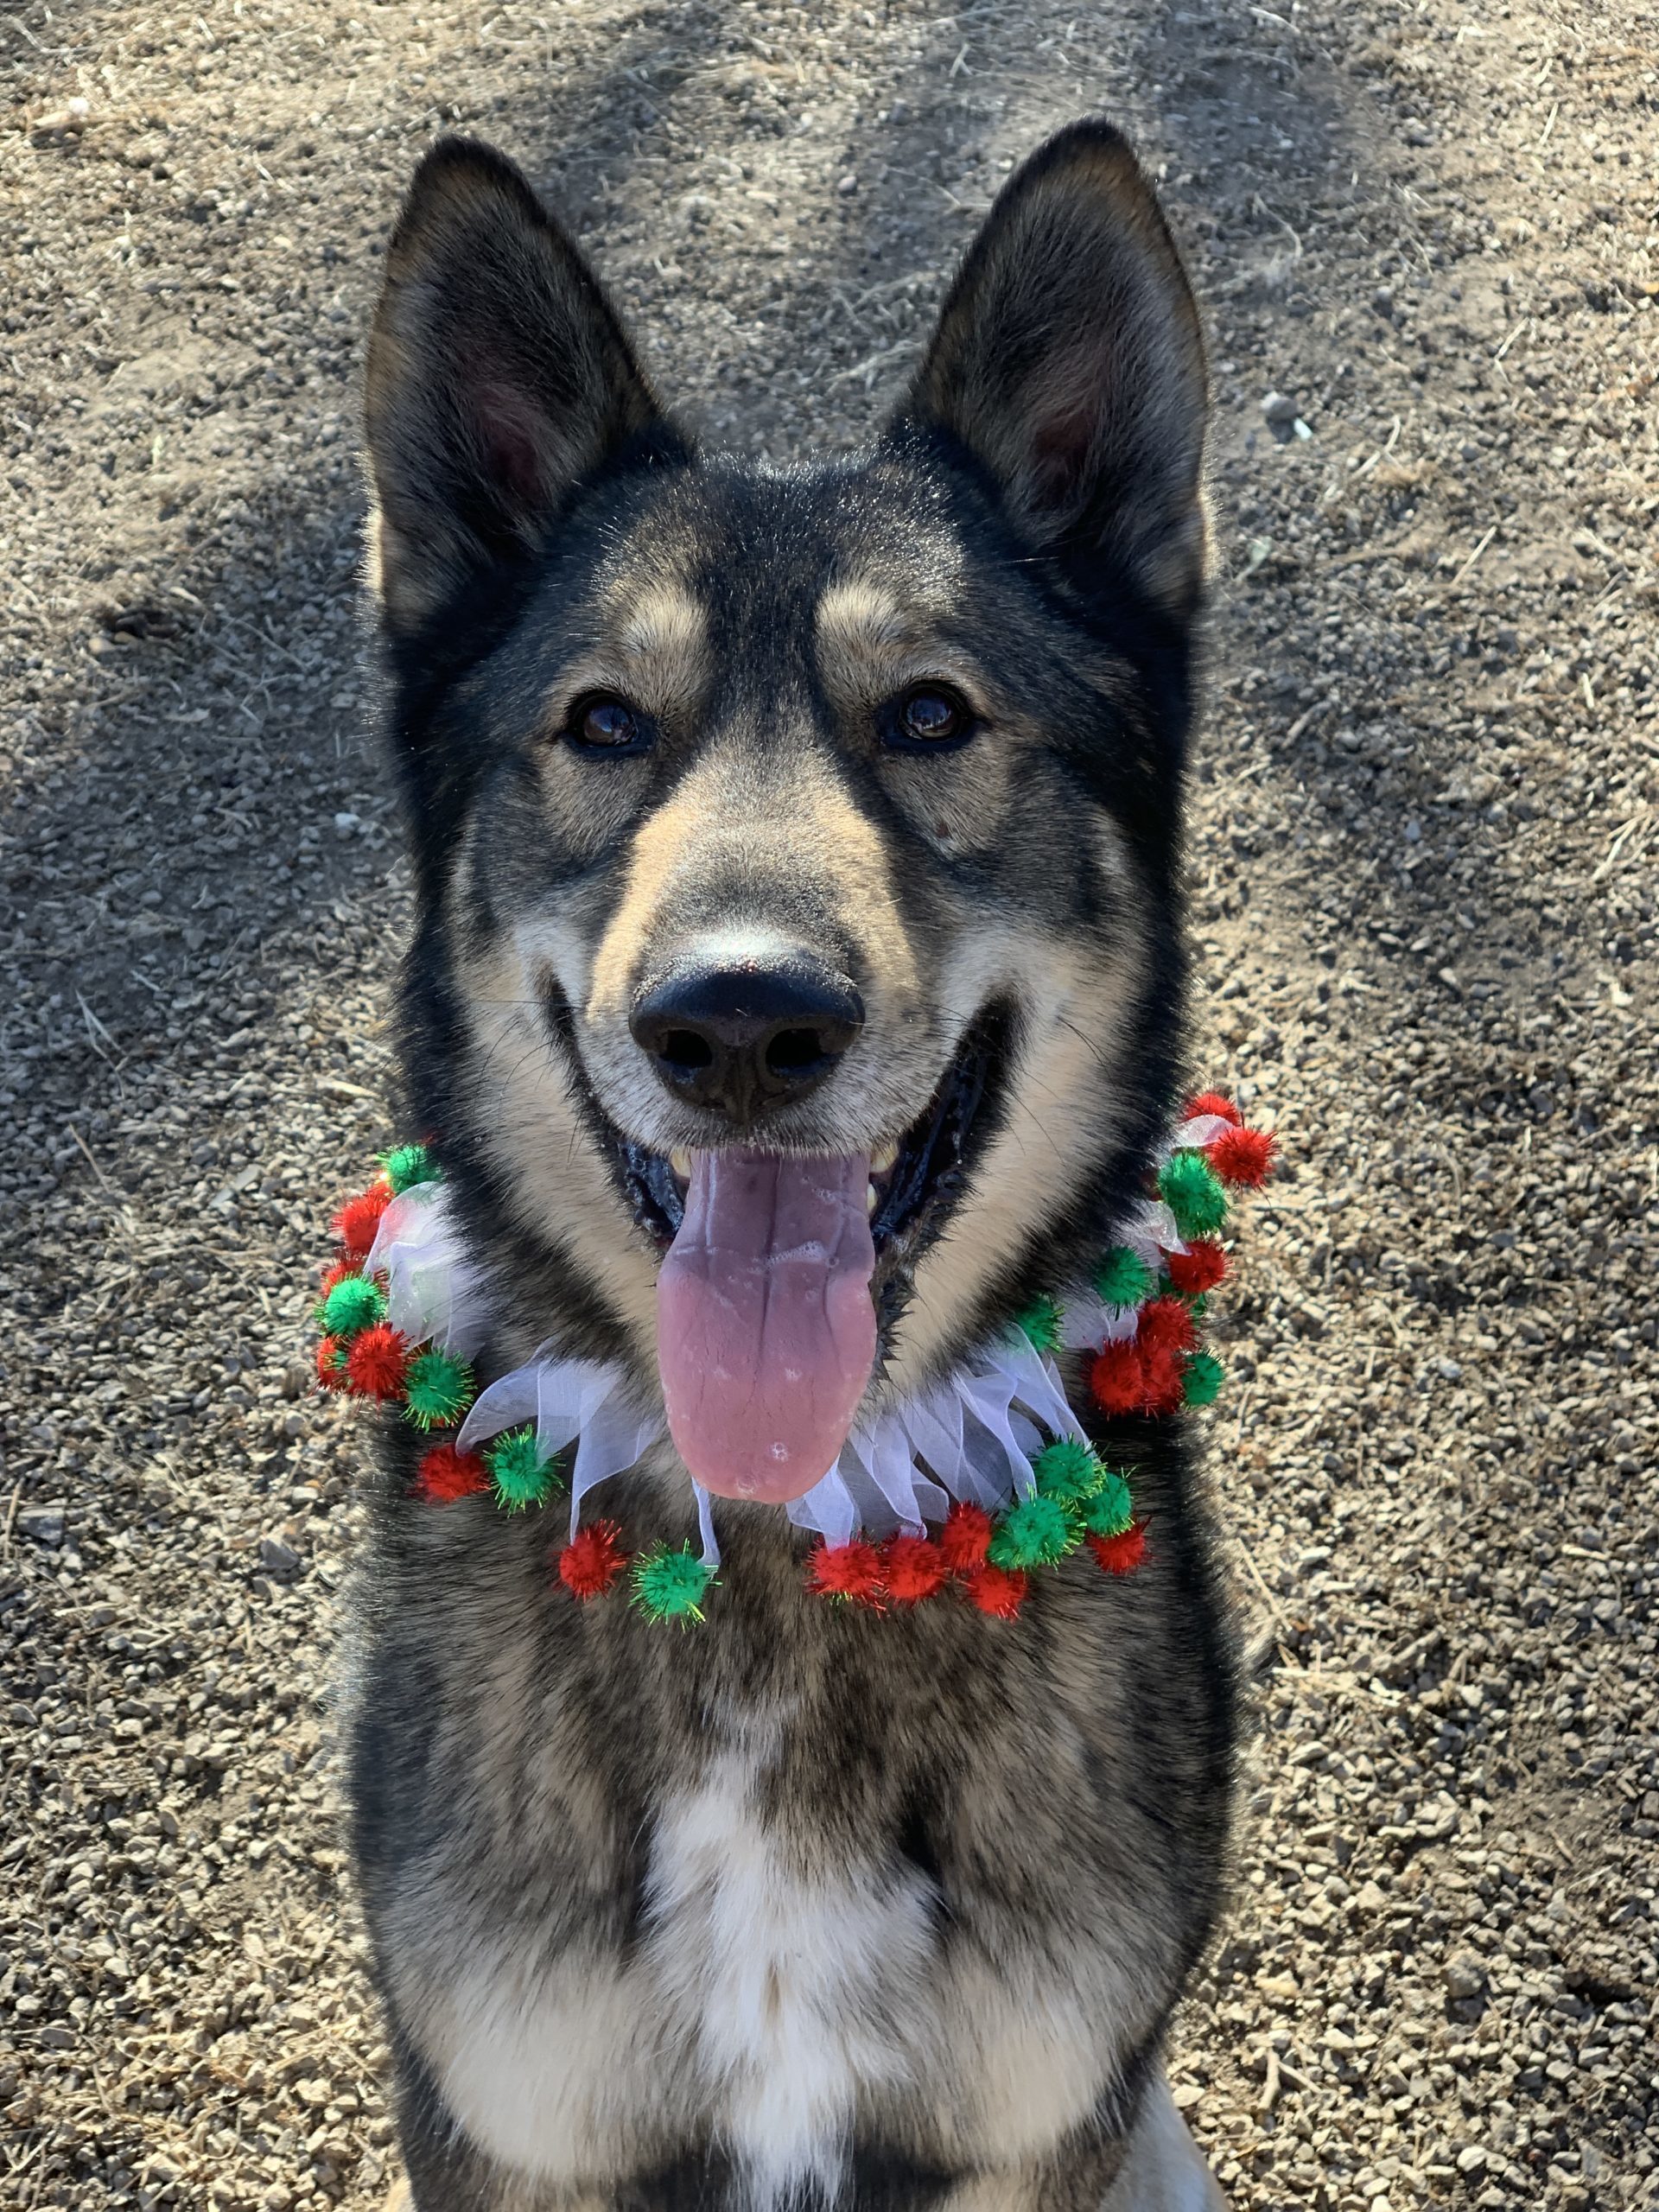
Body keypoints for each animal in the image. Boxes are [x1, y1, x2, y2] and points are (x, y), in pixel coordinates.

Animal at [352, 117, 1238, 2212]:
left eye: (930, 714)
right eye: (604, 722)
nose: (739, 1020)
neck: (768, 1540)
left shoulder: (1045, 2127)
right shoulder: (504, 2126)